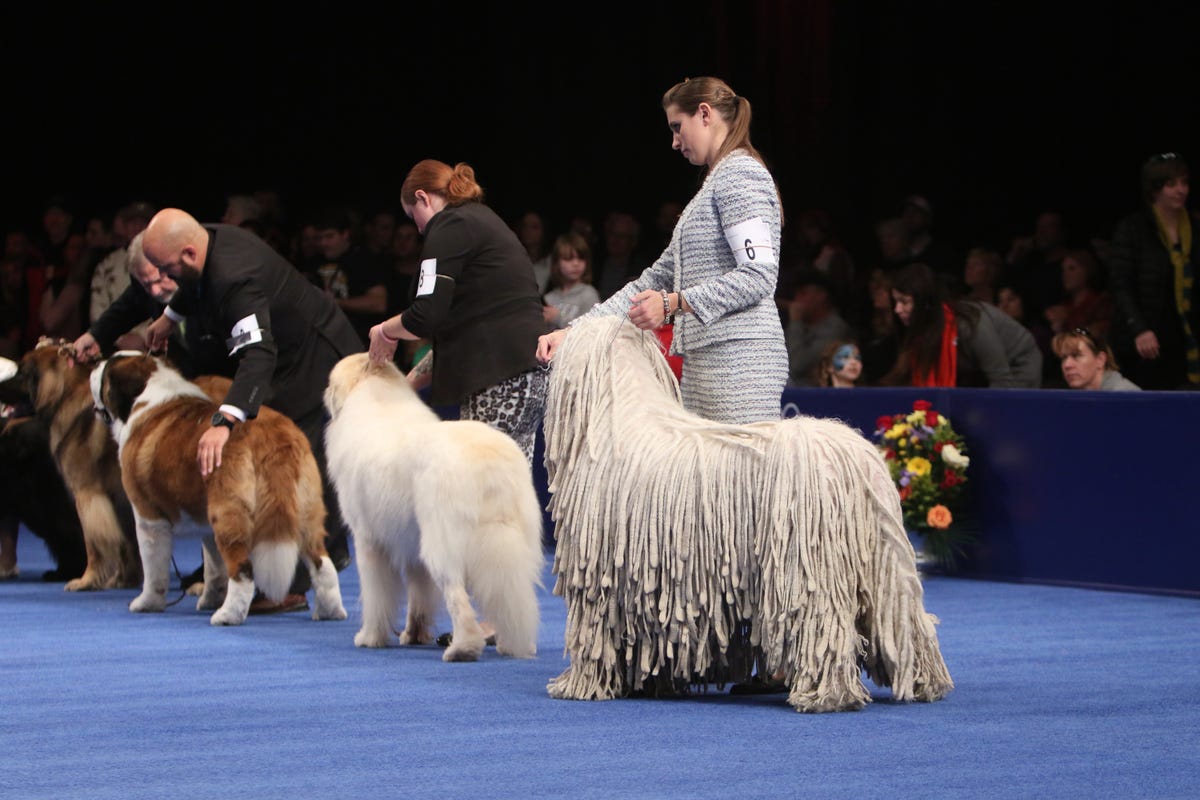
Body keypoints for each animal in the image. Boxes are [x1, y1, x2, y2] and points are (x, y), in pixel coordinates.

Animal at [321, 352, 542, 662]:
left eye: (331, 383)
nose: (325, 392)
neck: (378, 396)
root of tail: (489, 461)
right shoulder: (412, 546)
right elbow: (419, 595)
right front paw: (413, 635)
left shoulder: (368, 542)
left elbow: (376, 597)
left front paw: (370, 637)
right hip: (514, 542)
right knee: (517, 594)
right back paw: (515, 644)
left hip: (442, 545)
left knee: (458, 596)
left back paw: (462, 648)